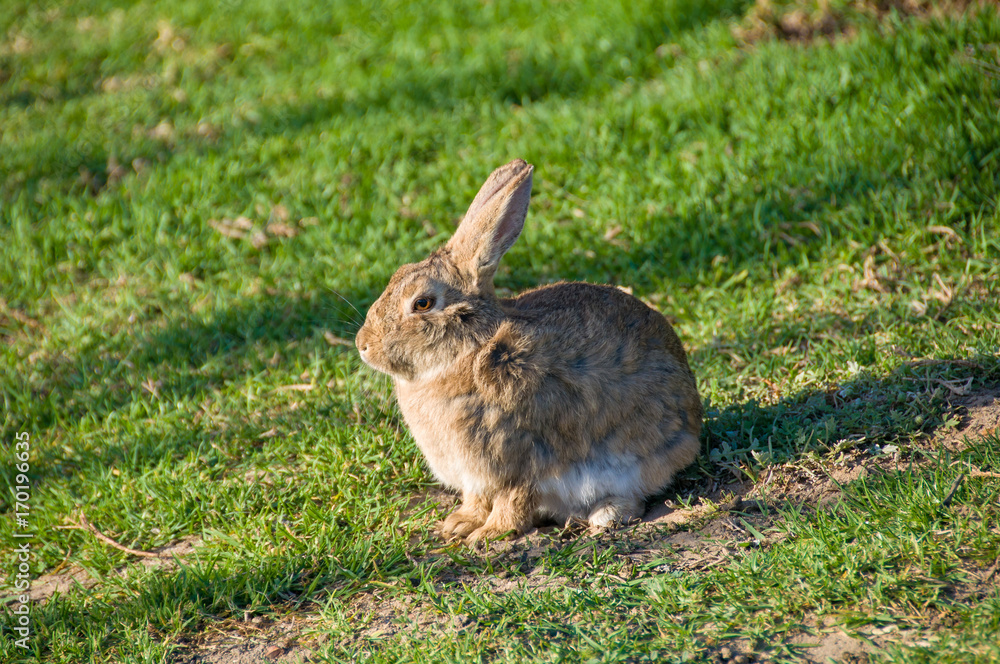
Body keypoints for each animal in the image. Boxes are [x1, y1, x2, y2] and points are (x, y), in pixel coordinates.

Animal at [355, 159, 702, 543]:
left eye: (422, 303)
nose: (363, 345)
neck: (469, 350)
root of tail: (694, 426)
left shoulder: (518, 459)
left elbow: (513, 499)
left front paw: (489, 535)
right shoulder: (476, 476)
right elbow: (476, 499)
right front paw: (457, 525)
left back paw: (605, 516)